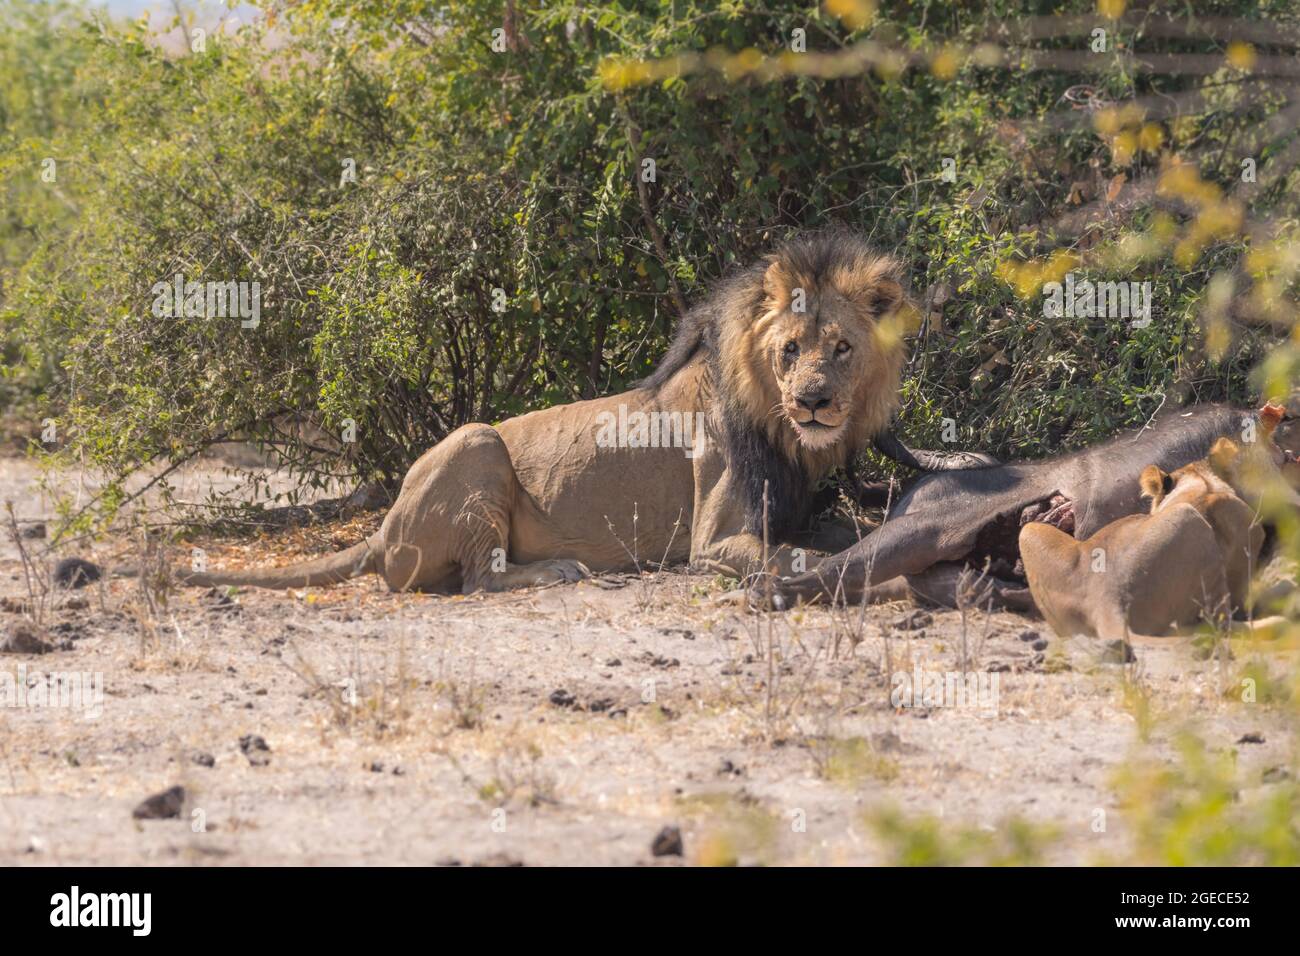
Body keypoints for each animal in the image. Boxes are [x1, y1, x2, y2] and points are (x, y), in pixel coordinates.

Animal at [183, 231, 925, 590]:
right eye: (789, 349)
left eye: (842, 348)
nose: (812, 401)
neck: (785, 431)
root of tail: (385, 525)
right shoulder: (711, 544)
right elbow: (797, 555)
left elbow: (836, 534)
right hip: (477, 443)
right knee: (479, 580)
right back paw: (557, 571)